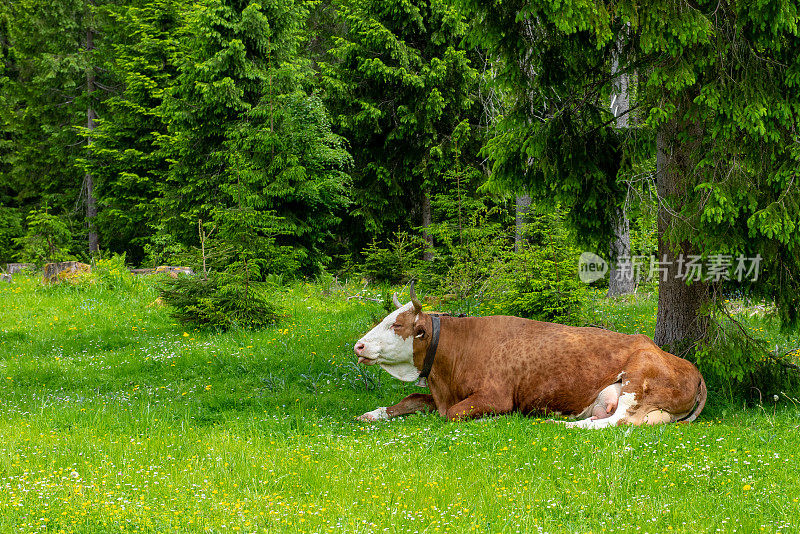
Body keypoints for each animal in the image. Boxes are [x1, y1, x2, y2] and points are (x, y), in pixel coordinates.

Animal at [354, 282, 704, 430]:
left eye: (397, 324)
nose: (358, 346)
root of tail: (692, 369)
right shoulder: (444, 392)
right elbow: (412, 399)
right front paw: (372, 413)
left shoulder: (494, 396)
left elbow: (452, 413)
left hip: (638, 377)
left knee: (619, 421)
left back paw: (565, 425)